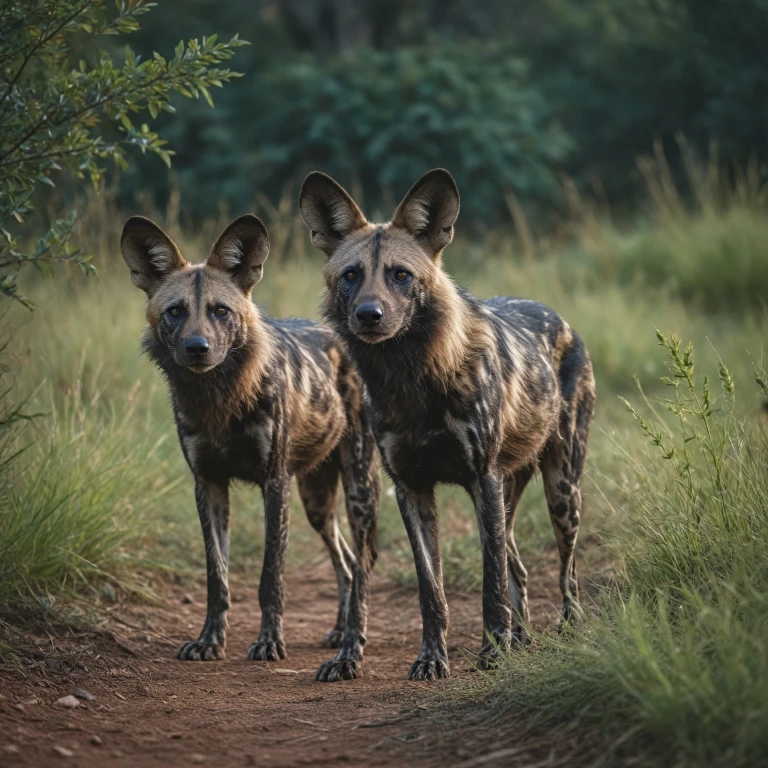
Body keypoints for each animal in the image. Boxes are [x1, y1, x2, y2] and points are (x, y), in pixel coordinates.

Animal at [120, 213, 380, 680]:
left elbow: (270, 578)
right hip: (317, 503)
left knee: (362, 565)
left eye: (220, 311)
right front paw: (209, 641)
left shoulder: (274, 484)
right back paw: (339, 632)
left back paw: (353, 646)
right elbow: (216, 579)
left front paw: (269, 642)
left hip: (358, 491)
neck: (218, 398)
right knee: (348, 563)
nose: (197, 348)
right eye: (175, 312)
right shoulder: (208, 486)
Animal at [298, 168, 592, 680]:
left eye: (401, 275)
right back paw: (521, 637)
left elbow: (490, 585)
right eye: (351, 275)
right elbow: (430, 591)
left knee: (566, 571)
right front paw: (432, 657)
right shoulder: (411, 490)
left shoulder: (481, 479)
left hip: (561, 492)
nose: (368, 316)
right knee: (518, 567)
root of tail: (561, 320)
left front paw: (492, 653)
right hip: (508, 498)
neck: (410, 377)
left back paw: (560, 627)